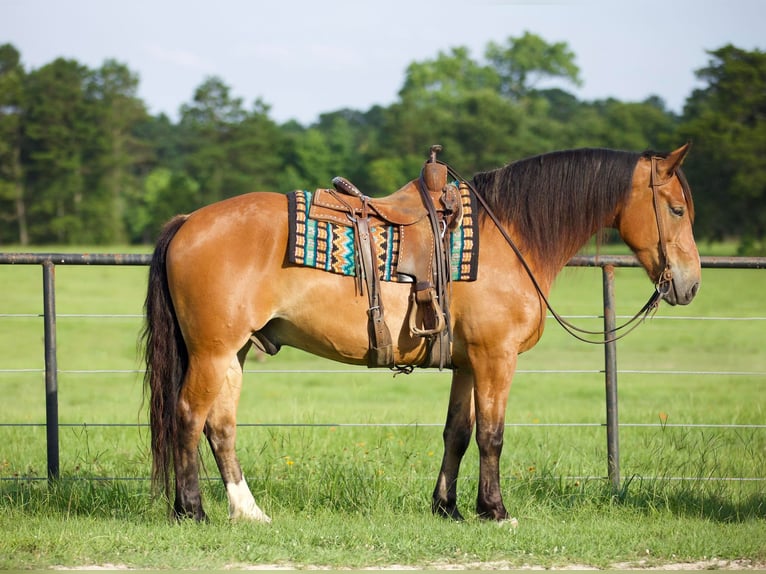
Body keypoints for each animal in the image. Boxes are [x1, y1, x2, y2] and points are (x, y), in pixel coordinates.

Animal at [142, 143, 704, 520]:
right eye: (676, 209)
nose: (691, 283)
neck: (509, 236)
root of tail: (189, 221)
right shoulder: (496, 358)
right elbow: (493, 434)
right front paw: (496, 510)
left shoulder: (468, 363)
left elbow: (458, 432)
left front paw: (448, 507)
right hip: (213, 352)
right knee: (189, 417)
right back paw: (192, 510)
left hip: (234, 353)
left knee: (221, 427)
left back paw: (247, 511)